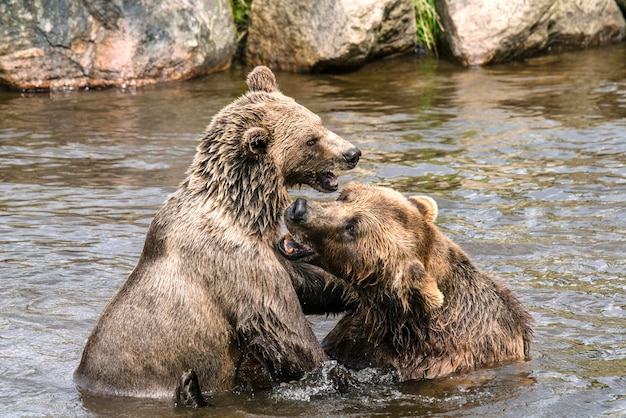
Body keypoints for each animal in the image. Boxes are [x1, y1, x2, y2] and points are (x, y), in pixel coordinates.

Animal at [72, 66, 360, 398]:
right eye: (310, 140)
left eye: (319, 122)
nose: (352, 153)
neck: (245, 212)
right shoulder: (234, 263)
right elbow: (280, 326)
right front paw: (337, 373)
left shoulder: (267, 250)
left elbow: (304, 281)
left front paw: (352, 291)